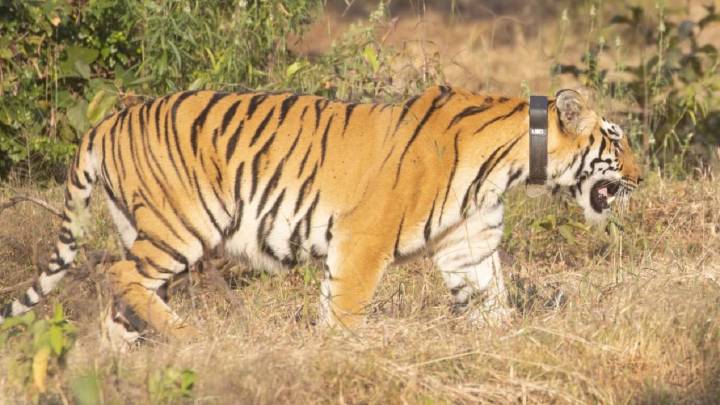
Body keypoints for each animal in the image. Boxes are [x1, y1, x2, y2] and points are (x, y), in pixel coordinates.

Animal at [0, 85, 641, 343]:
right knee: (119, 275)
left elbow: (493, 303)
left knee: (122, 298)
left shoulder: (469, 247)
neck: (511, 163)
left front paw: (516, 341)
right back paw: (188, 336)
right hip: (180, 226)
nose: (641, 177)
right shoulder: (363, 238)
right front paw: (337, 351)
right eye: (616, 139)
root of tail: (105, 122)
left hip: (146, 231)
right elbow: (346, 310)